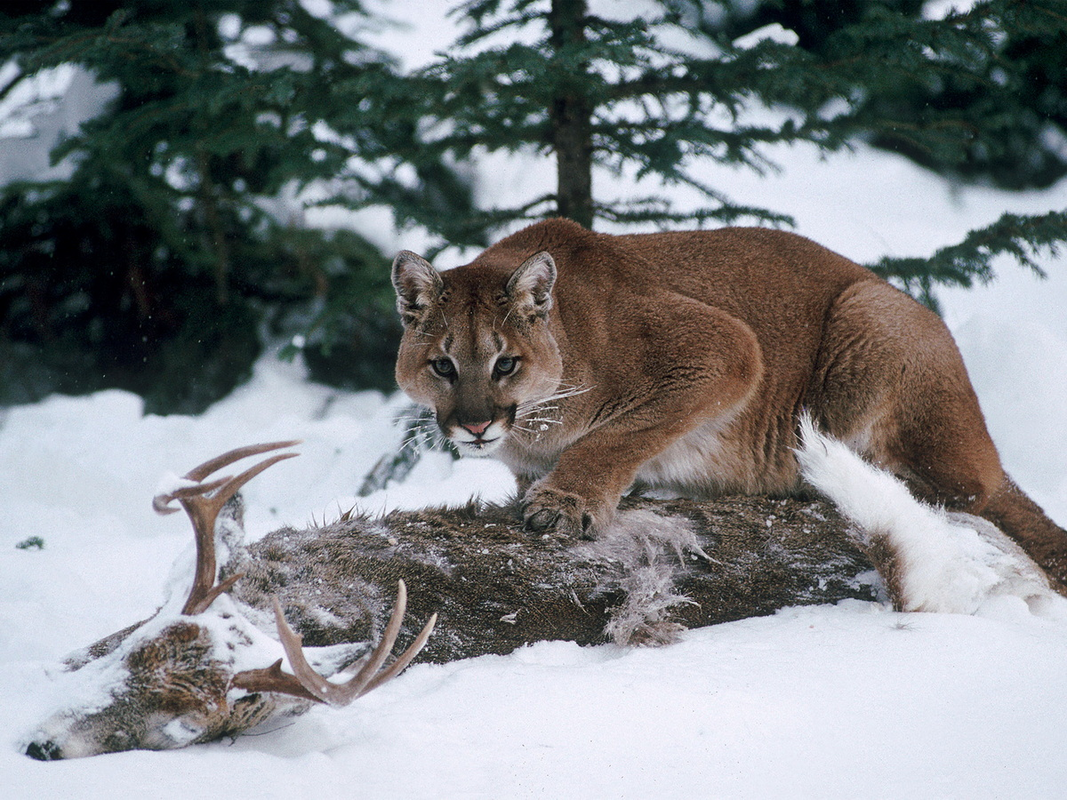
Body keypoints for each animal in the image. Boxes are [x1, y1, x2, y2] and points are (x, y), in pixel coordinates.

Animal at [394, 216, 1067, 584]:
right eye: (443, 366)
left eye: (505, 363)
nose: (475, 427)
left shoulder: (726, 348)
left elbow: (620, 432)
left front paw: (565, 500)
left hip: (873, 312)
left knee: (968, 486)